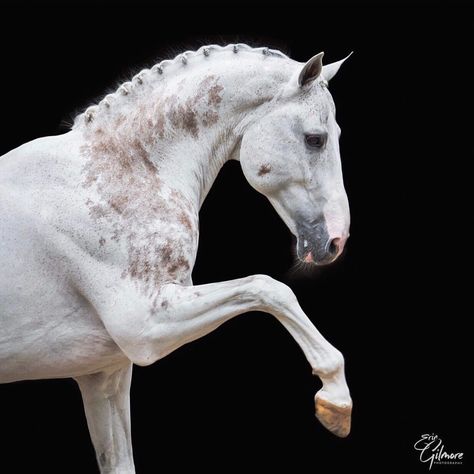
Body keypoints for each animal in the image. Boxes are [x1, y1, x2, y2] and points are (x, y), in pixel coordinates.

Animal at [0, 43, 352, 470]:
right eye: (315, 139)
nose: (336, 239)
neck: (121, 172)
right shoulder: (145, 326)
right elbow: (270, 289)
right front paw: (336, 399)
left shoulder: (105, 374)